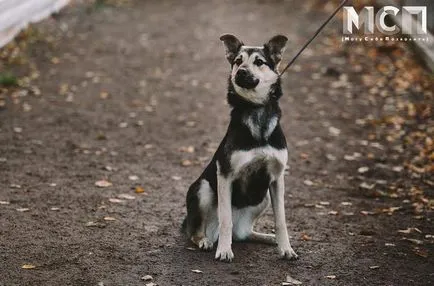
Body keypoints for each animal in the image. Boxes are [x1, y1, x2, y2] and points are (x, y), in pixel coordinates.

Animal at [181, 33, 298, 262]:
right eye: (237, 61)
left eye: (259, 62)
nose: (241, 71)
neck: (256, 109)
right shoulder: (225, 175)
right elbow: (226, 219)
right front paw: (224, 250)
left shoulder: (277, 179)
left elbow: (281, 220)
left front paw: (286, 248)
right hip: (203, 189)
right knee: (196, 230)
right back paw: (205, 240)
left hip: (263, 197)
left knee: (243, 233)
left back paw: (268, 238)